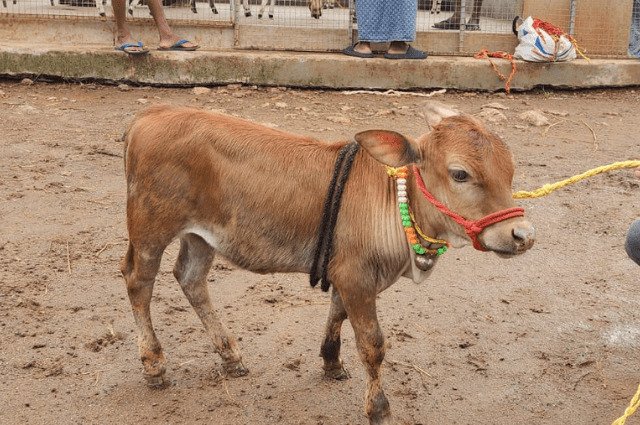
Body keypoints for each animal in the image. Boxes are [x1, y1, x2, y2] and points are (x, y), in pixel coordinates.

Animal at [120, 102, 535, 424]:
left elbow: (337, 313)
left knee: (190, 279)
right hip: (150, 226)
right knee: (139, 281)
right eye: (460, 173)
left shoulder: (346, 273)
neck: (393, 200)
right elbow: (372, 344)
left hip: (201, 236)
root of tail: (152, 113)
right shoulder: (356, 278)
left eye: (510, 169)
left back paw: (230, 355)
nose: (522, 235)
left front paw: (331, 362)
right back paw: (154, 364)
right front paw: (379, 408)